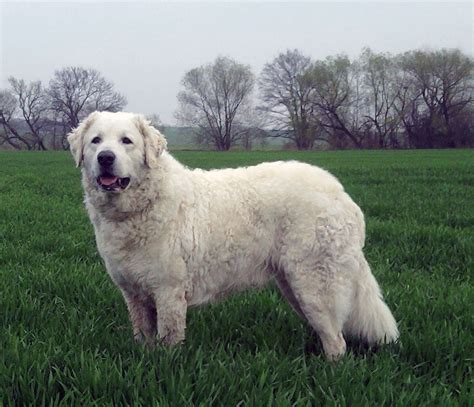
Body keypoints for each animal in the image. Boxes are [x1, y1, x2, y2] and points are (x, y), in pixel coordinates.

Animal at [68, 111, 398, 360]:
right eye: (96, 140)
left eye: (127, 141)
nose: (105, 157)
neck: (141, 205)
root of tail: (339, 192)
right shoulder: (134, 294)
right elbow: (143, 336)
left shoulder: (168, 291)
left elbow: (168, 340)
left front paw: (164, 366)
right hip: (294, 285)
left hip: (315, 285)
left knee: (337, 341)